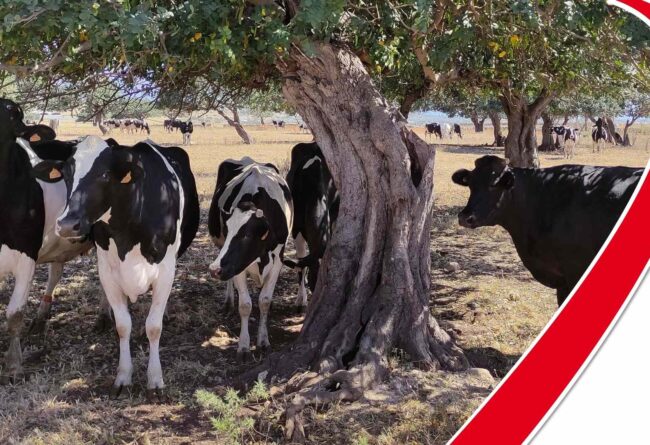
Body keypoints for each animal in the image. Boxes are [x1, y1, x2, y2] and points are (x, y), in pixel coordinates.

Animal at [32, 139, 200, 397]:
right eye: (68, 174)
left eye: (104, 174)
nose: (67, 225)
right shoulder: (108, 273)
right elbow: (123, 325)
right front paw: (123, 376)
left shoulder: (165, 270)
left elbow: (154, 326)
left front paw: (155, 379)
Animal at [207, 157, 293, 361]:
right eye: (227, 230)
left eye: (246, 236)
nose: (214, 269)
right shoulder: (236, 265)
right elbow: (245, 305)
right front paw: (244, 346)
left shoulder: (278, 260)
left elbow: (264, 300)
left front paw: (263, 341)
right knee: (229, 281)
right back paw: (228, 301)